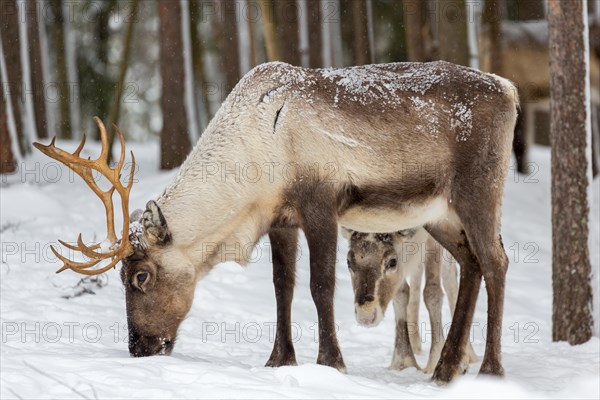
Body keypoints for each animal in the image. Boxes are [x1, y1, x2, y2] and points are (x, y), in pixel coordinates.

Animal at [342, 230, 478, 374]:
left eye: (392, 262)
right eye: (348, 262)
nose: (366, 316)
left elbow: (432, 292)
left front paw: (434, 362)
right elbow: (402, 293)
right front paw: (402, 363)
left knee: (451, 274)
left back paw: (468, 355)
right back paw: (415, 344)